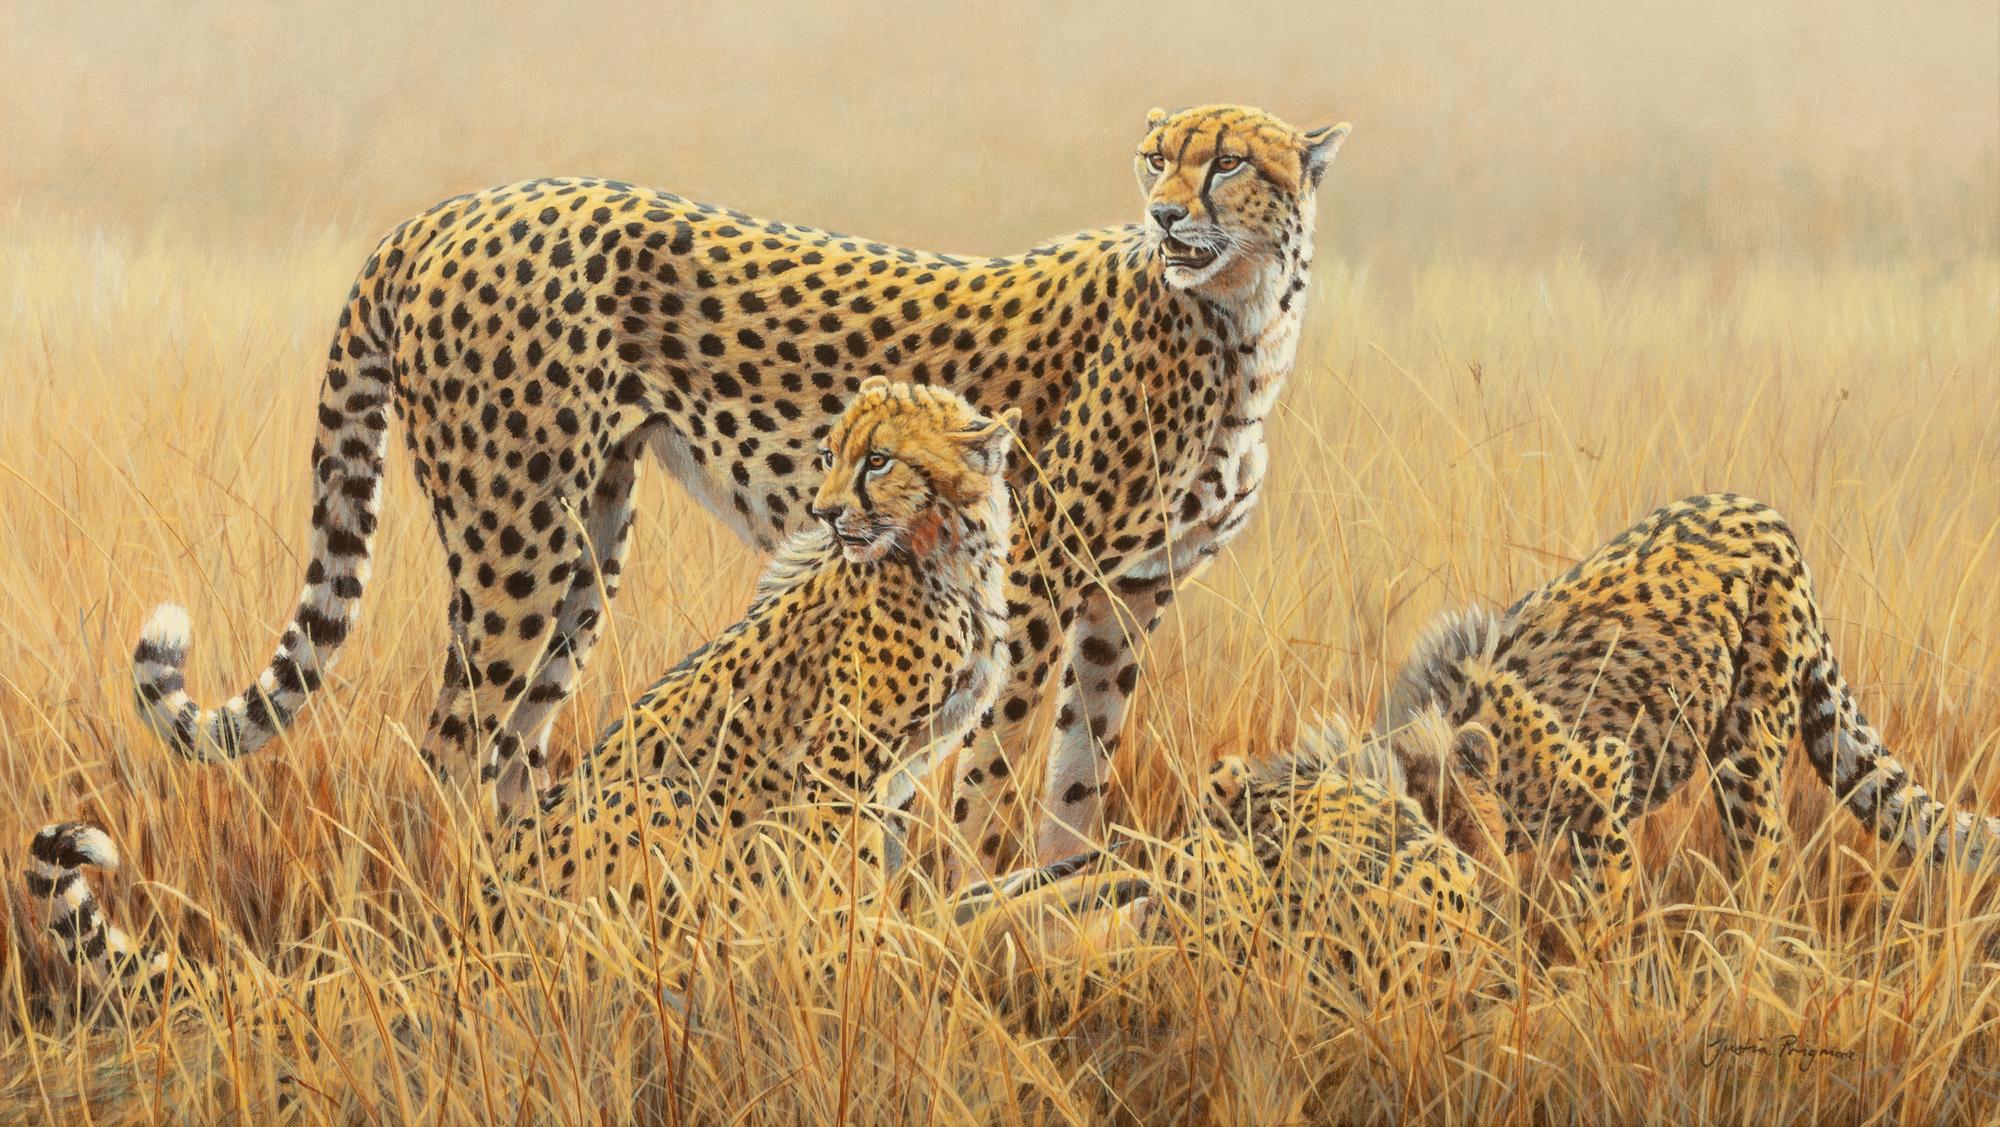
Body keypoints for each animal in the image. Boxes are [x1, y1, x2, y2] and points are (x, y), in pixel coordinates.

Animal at [122, 103, 1353, 880]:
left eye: (1229, 162)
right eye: (1154, 157)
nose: (1165, 216)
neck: (1239, 330)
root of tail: (457, 208)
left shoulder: (1125, 601)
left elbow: (1079, 775)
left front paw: (1059, 892)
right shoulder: (1043, 587)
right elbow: (994, 778)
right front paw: (975, 902)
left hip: (585, 550)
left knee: (518, 746)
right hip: (515, 540)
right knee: (455, 745)